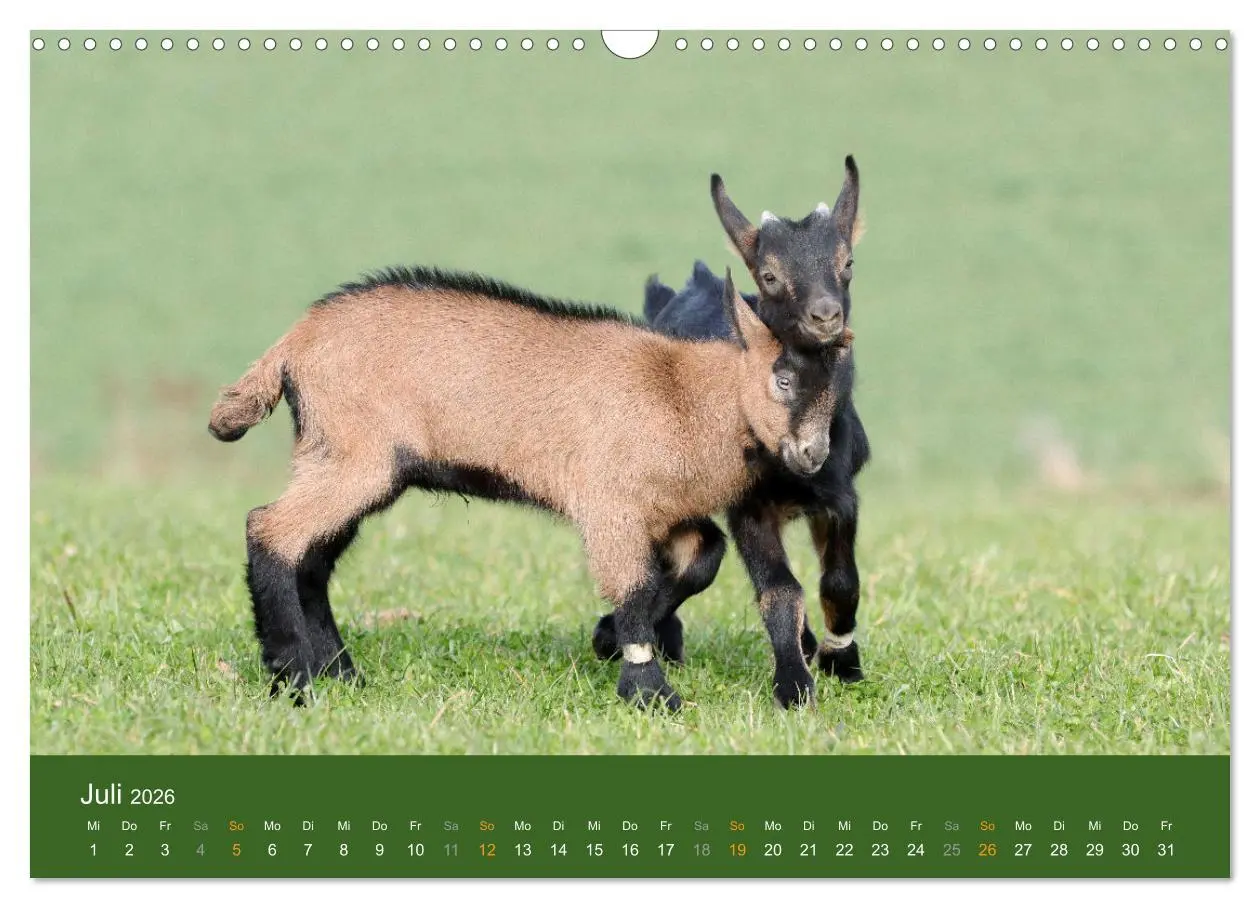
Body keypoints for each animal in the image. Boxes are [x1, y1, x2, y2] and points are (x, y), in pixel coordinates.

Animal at [209, 265, 848, 711]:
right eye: (782, 378)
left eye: (835, 385)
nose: (813, 455)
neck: (680, 392)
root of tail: (292, 345)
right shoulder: (608, 507)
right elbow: (636, 587)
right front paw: (649, 694)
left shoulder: (666, 515)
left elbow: (703, 559)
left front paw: (607, 640)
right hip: (354, 459)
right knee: (269, 529)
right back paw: (293, 681)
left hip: (344, 462)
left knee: (312, 560)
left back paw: (341, 674)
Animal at [592, 157, 869, 708]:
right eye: (769, 275)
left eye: (847, 263)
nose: (825, 315)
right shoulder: (750, 505)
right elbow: (779, 591)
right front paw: (794, 684)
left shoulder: (838, 491)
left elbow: (840, 581)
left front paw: (840, 659)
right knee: (692, 555)